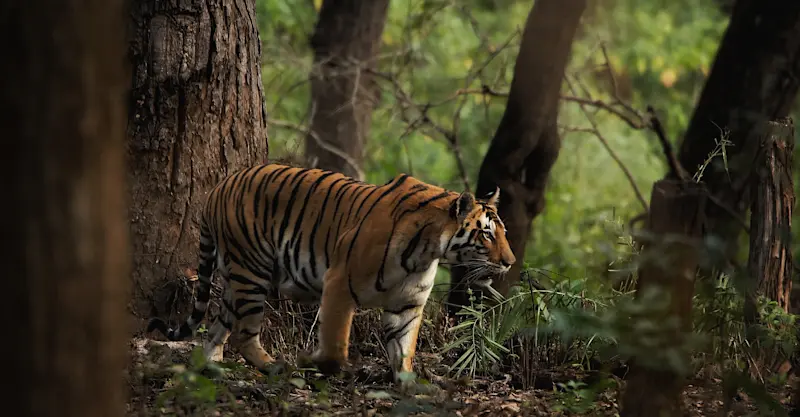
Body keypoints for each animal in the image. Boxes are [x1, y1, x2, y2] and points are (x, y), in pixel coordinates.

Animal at [147, 163, 516, 385]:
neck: (428, 251)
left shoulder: (407, 305)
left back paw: (207, 368)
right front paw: (316, 363)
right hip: (252, 272)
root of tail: (219, 186)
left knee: (215, 329)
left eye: (503, 232)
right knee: (242, 333)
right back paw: (275, 366)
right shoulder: (339, 283)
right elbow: (337, 346)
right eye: (486, 234)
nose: (510, 262)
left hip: (236, 281)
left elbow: (404, 349)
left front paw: (410, 386)